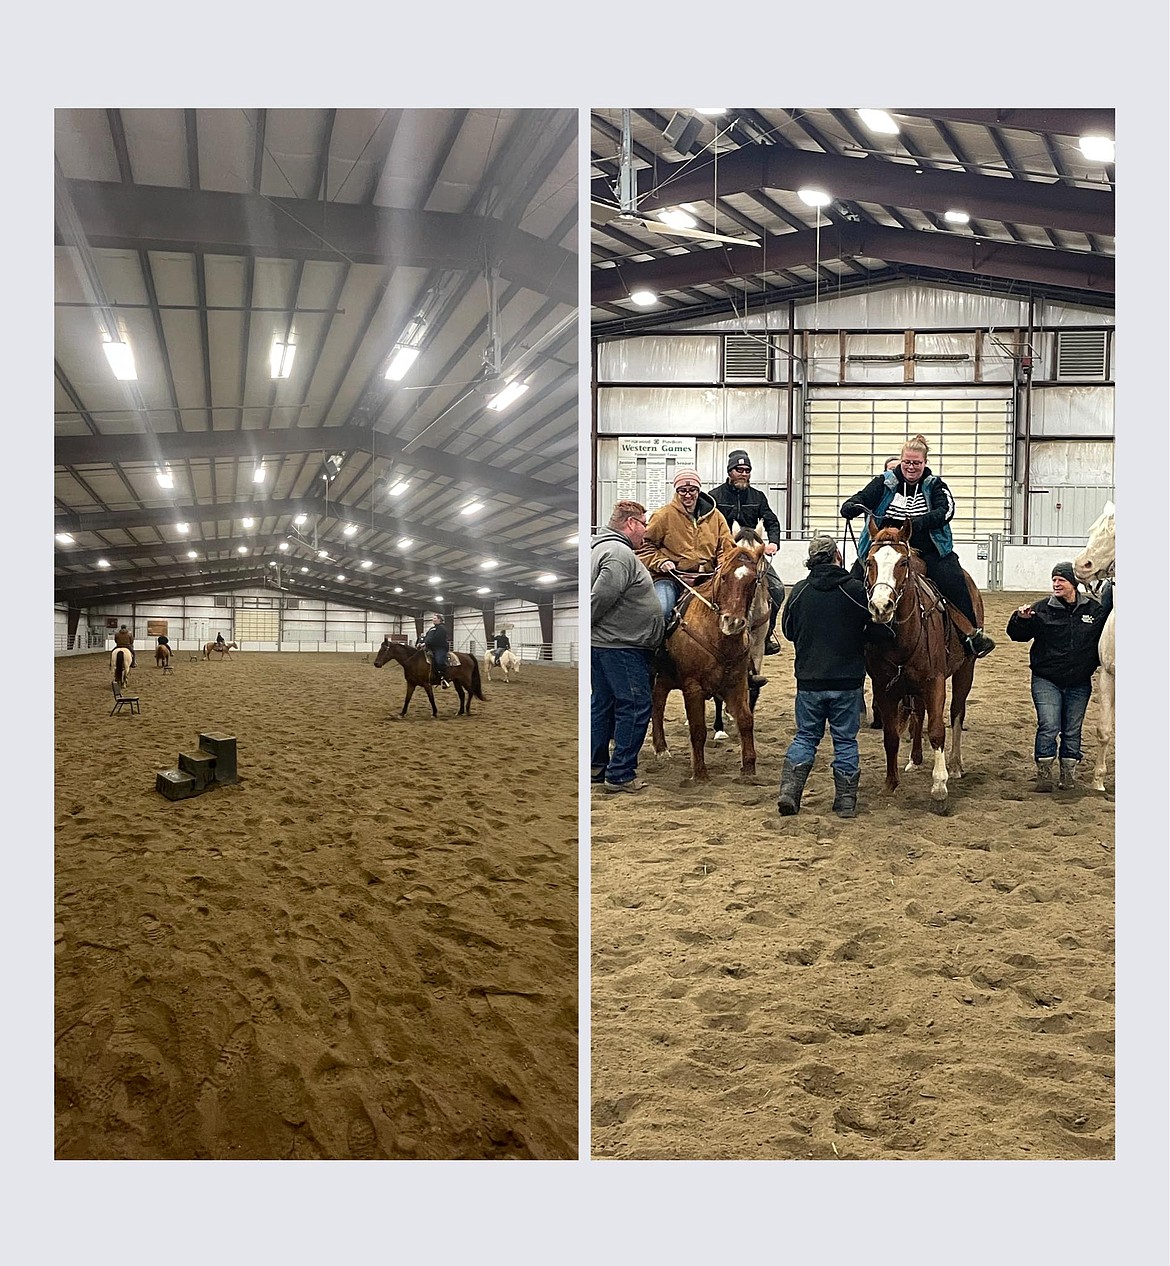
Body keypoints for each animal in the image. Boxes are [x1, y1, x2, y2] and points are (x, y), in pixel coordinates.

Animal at [648, 516, 769, 779]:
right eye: (723, 576)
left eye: (753, 580)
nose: (733, 622)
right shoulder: (692, 686)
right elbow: (698, 728)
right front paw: (700, 773)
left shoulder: (738, 680)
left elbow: (746, 720)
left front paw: (749, 769)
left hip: (665, 676)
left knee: (658, 701)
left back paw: (661, 748)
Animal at [866, 519, 982, 815]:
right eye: (870, 561)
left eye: (903, 562)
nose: (881, 606)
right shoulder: (884, 687)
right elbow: (891, 735)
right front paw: (890, 784)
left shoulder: (935, 681)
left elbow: (939, 730)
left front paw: (939, 788)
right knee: (918, 714)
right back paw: (914, 758)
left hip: (965, 670)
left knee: (956, 712)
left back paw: (954, 765)